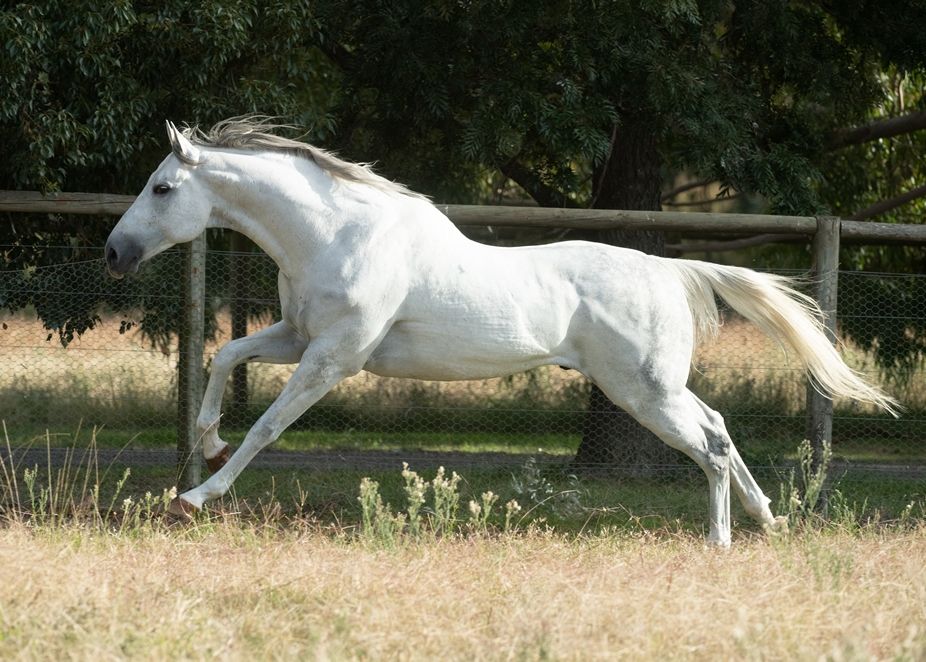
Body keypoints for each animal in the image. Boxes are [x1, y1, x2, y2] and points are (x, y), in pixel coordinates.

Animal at [104, 117, 898, 546]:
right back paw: (768, 519)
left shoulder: (333, 357)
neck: (338, 234)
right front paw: (208, 442)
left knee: (707, 444)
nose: (114, 254)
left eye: (162, 188)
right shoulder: (298, 337)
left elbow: (269, 425)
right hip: (656, 386)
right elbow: (223, 355)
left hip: (642, 391)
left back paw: (721, 538)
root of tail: (670, 271)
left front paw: (197, 497)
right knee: (721, 428)